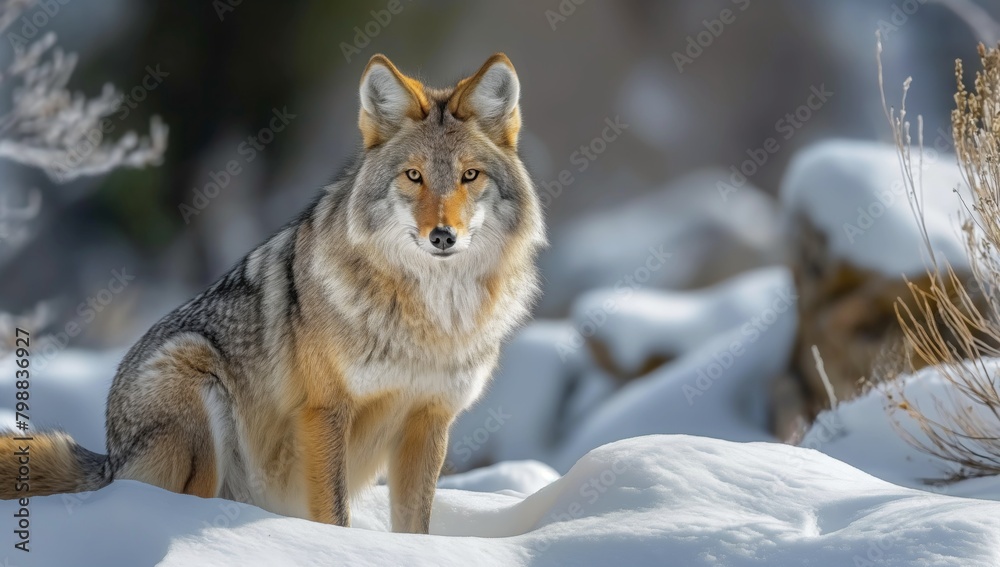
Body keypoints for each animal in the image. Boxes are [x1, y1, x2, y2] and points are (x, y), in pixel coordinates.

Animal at [0, 53, 545, 534]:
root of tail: (111, 460)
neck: (431, 319)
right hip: (196, 375)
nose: (442, 237)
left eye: (469, 175)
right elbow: (334, 516)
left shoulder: (430, 420)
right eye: (414, 176)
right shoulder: (325, 412)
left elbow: (415, 528)